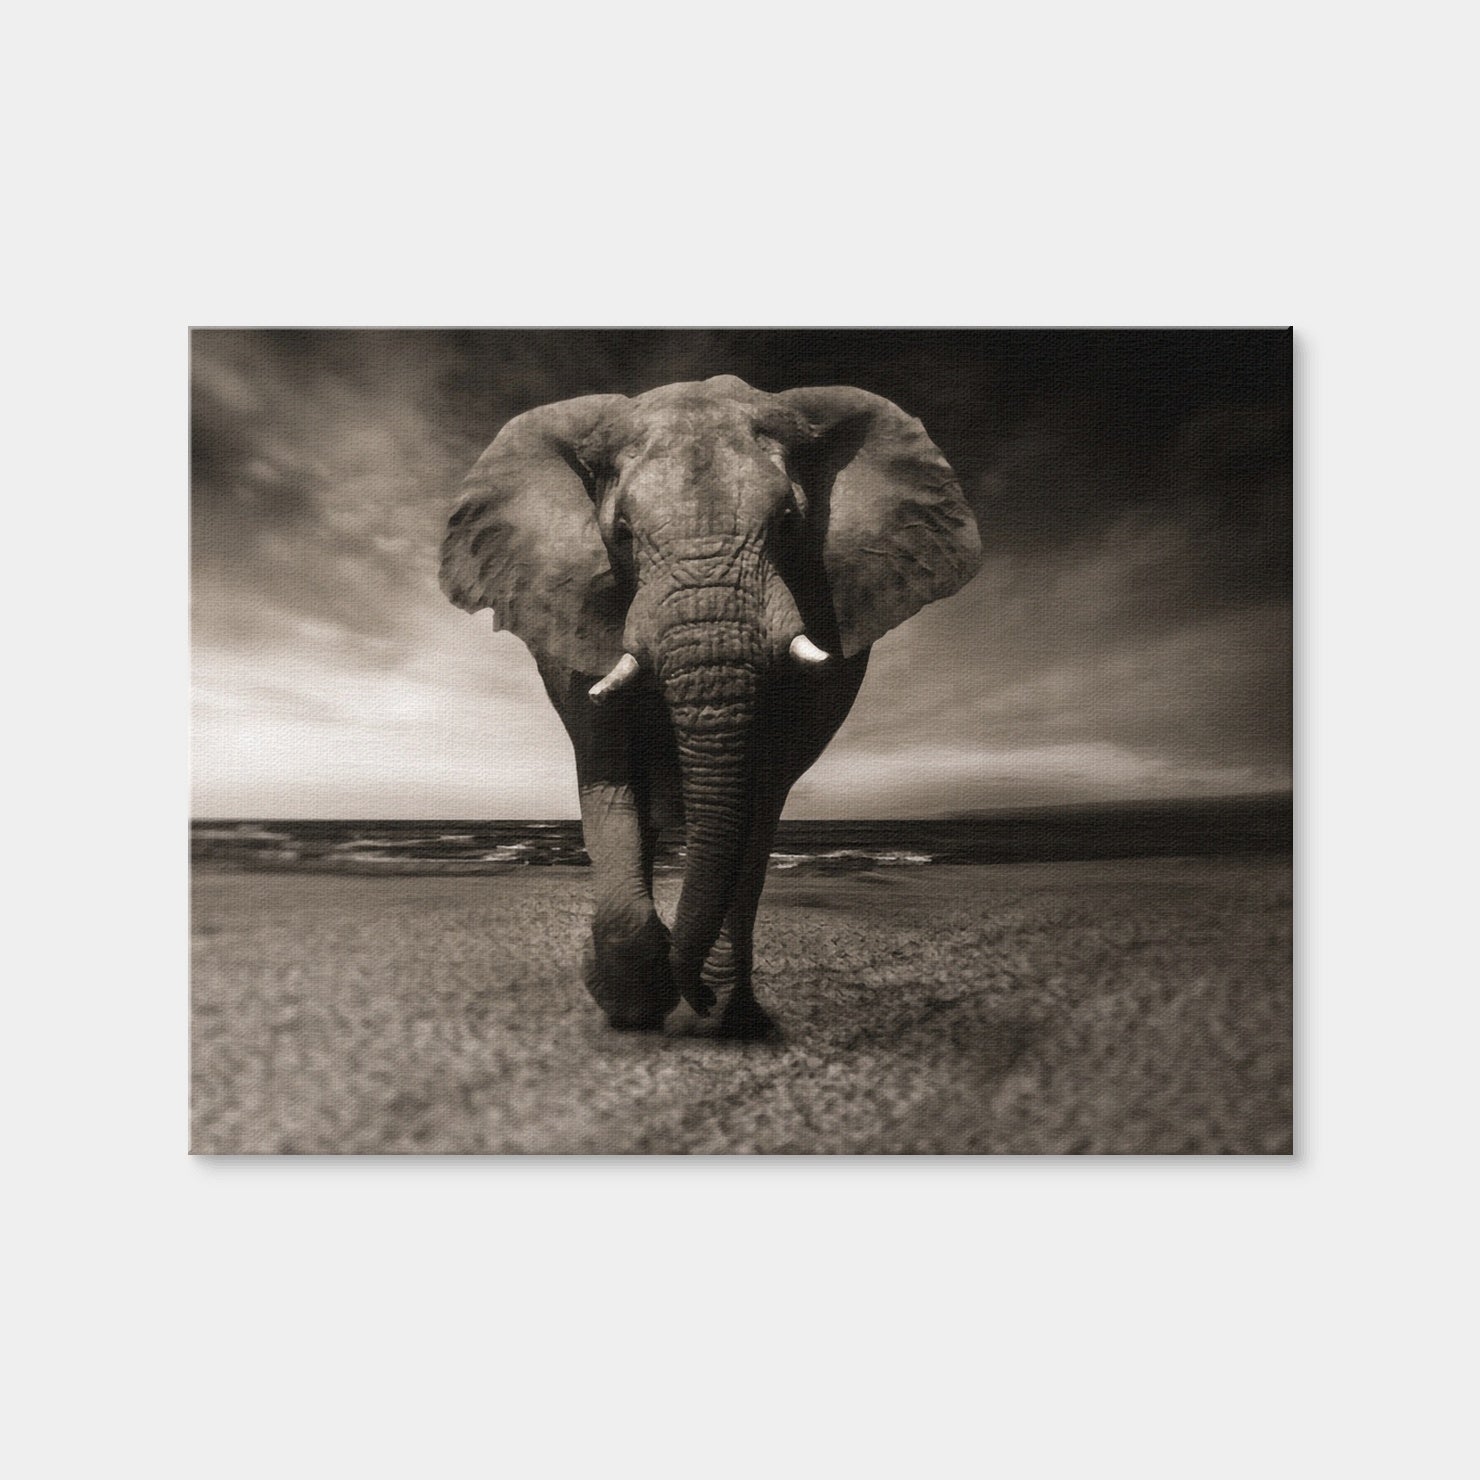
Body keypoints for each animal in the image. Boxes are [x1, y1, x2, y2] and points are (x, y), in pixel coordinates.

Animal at [439, 374, 981, 1038]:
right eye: (622, 535)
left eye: (788, 523)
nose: (692, 993)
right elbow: (609, 770)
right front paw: (633, 1003)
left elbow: (759, 790)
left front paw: (710, 1008)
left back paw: (730, 1015)